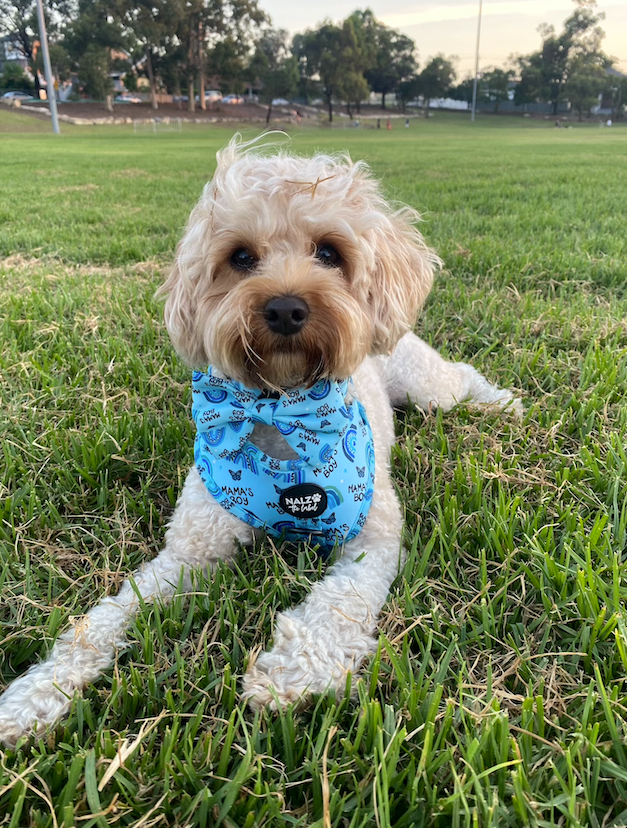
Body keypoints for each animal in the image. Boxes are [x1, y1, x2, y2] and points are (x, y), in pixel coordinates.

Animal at [0, 139, 520, 748]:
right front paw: (35, 694)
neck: (283, 409)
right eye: (242, 257)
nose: (286, 308)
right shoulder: (190, 551)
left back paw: (505, 403)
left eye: (330, 252)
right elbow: (104, 619)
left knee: (460, 377)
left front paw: (292, 673)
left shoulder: (372, 540)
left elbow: (336, 606)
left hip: (425, 384)